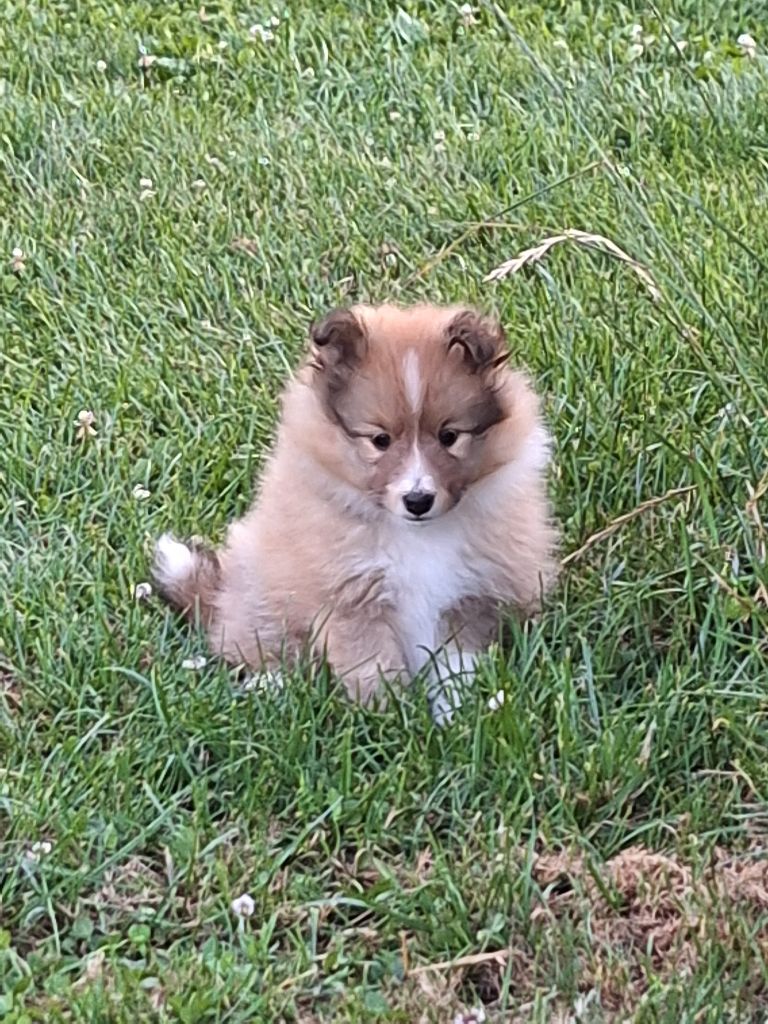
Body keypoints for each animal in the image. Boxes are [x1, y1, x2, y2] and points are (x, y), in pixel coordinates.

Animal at [153, 301, 561, 720]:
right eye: (379, 440)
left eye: (450, 436)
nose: (418, 501)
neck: (416, 535)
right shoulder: (349, 597)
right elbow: (371, 664)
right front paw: (388, 716)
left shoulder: (471, 595)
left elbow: (454, 664)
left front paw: (454, 714)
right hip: (263, 590)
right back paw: (271, 684)